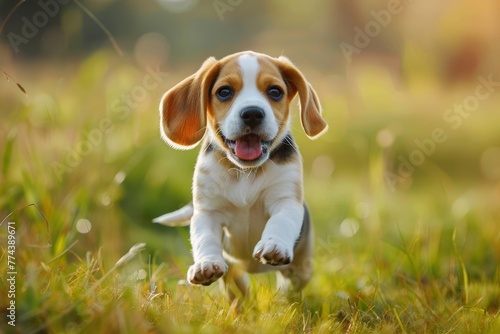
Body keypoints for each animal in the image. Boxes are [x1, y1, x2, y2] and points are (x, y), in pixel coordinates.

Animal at [154, 51, 330, 298]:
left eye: (275, 92)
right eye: (224, 92)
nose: (252, 114)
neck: (245, 172)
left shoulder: (286, 200)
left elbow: (281, 221)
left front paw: (274, 245)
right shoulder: (208, 212)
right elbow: (205, 238)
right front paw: (206, 264)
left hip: (302, 268)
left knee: (292, 283)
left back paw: (283, 297)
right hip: (233, 272)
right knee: (237, 286)